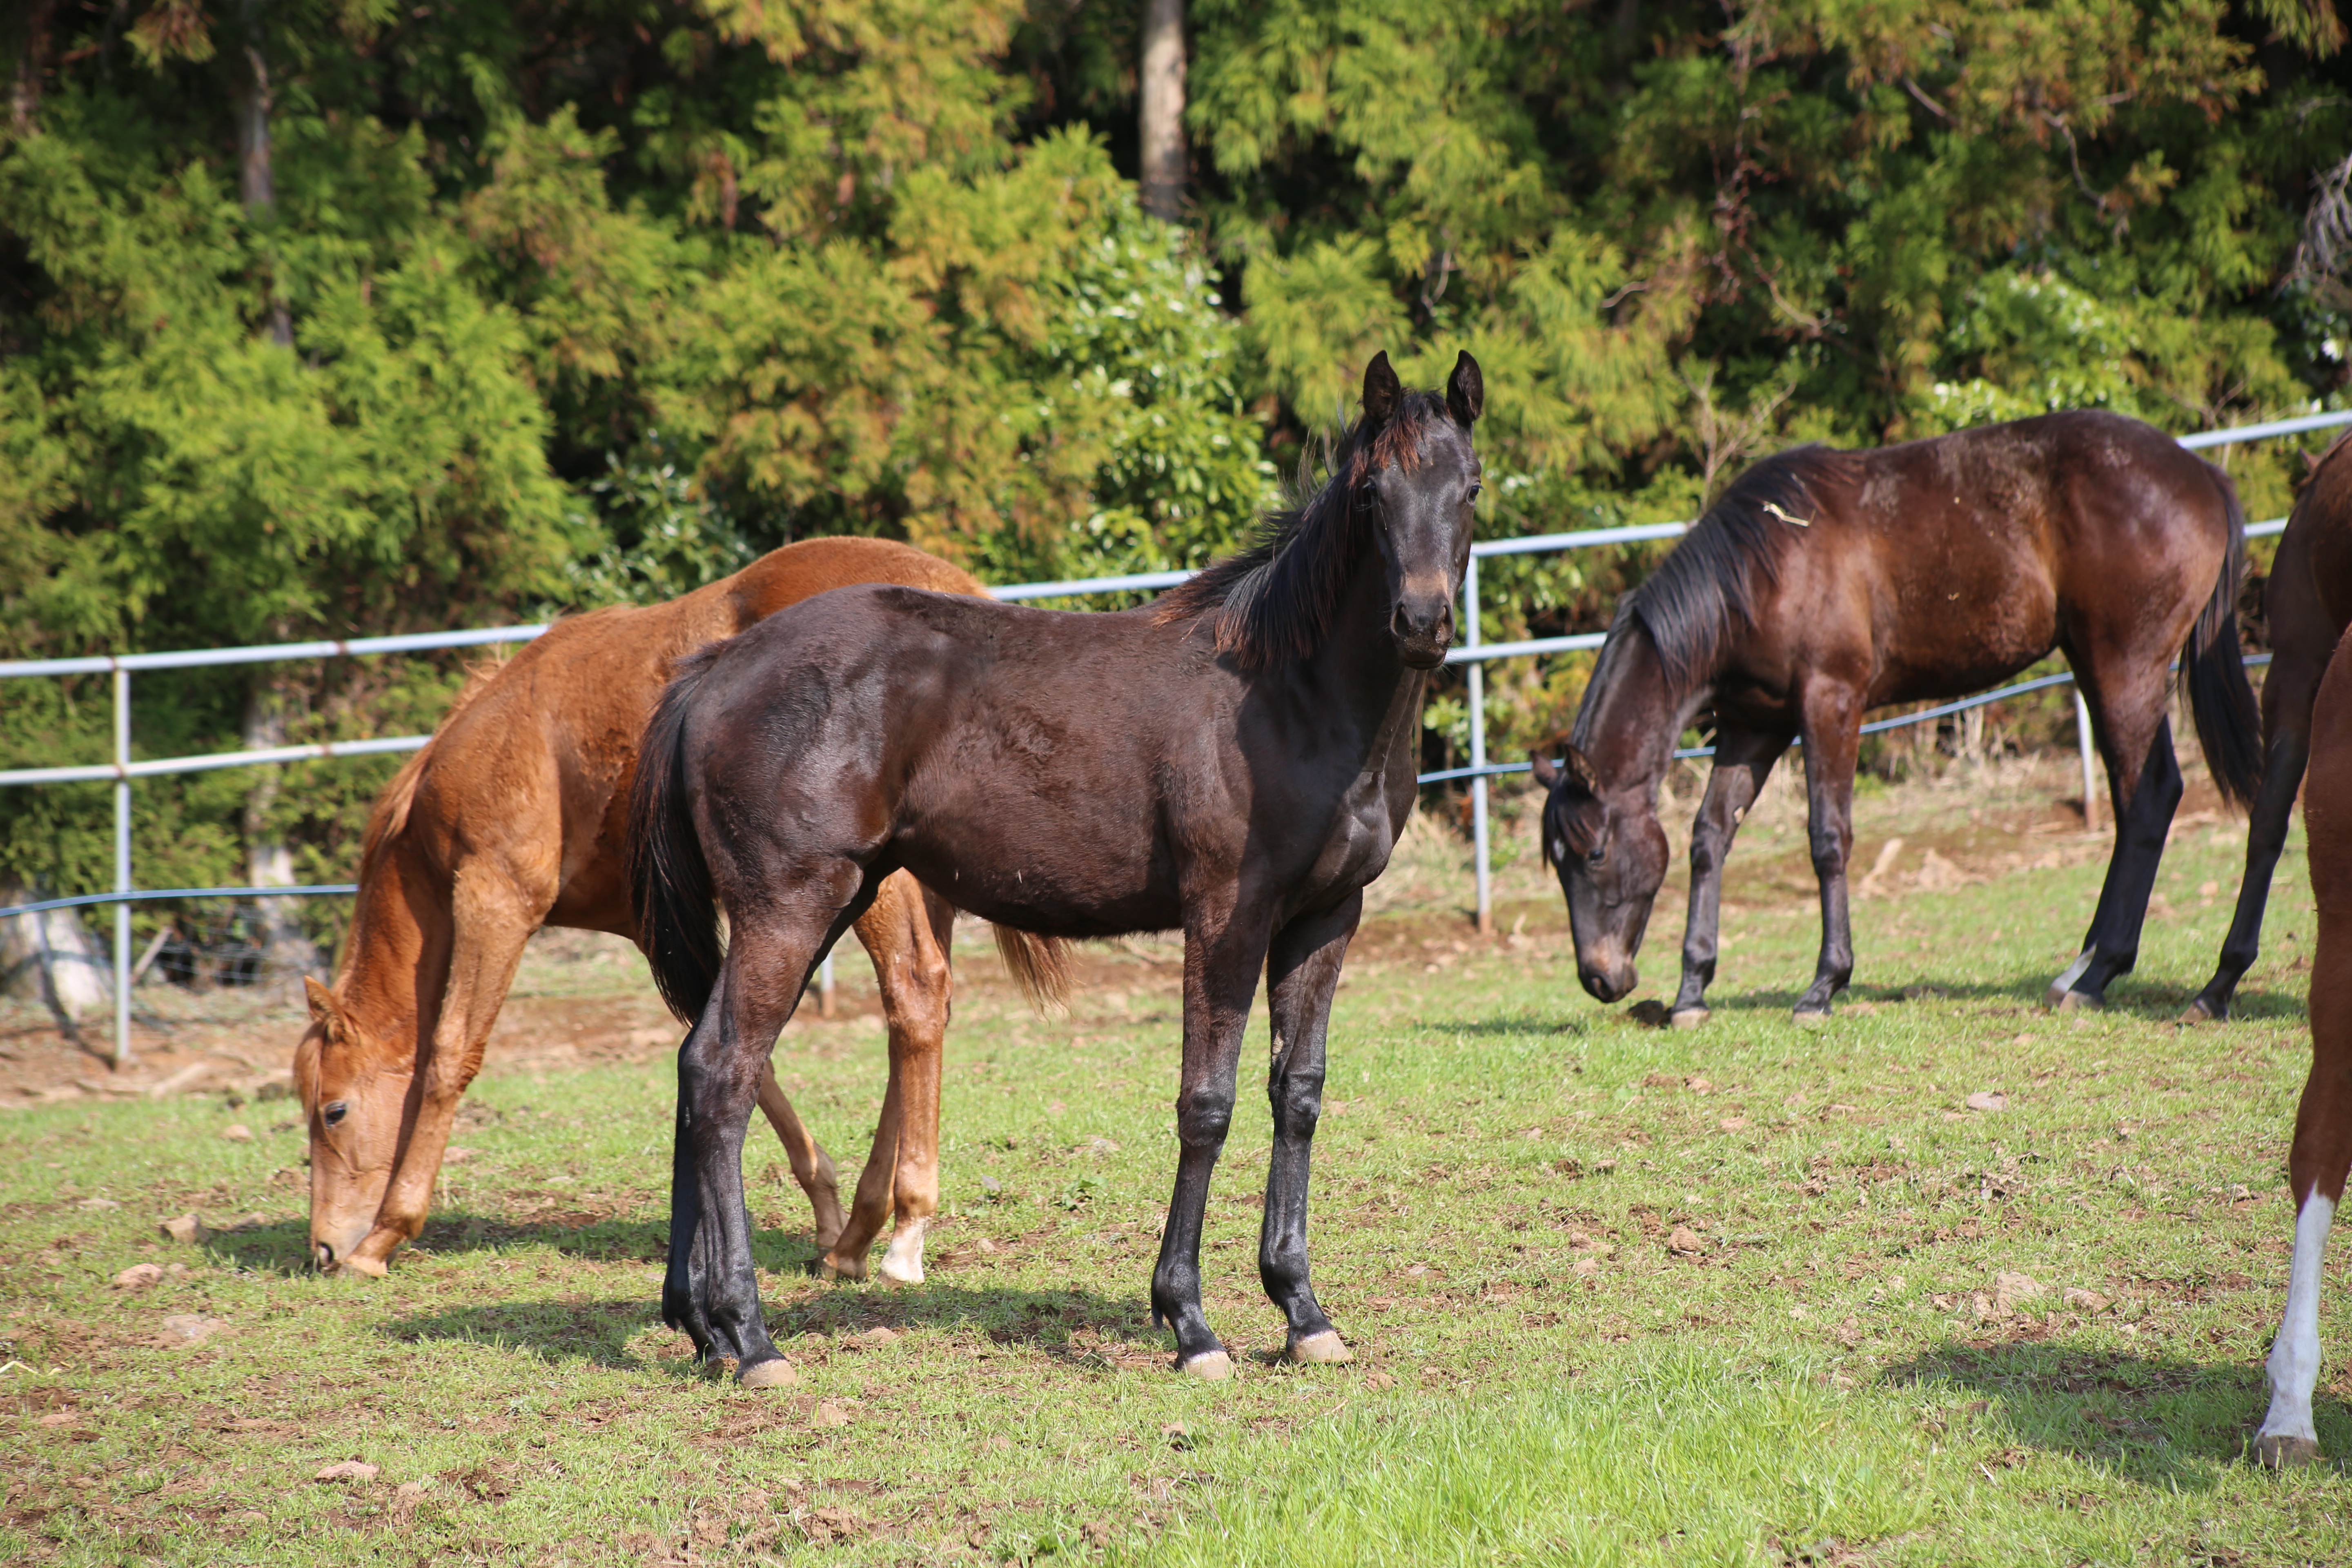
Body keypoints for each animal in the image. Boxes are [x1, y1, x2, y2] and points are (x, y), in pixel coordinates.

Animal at [621, 352, 1468, 1382]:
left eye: (1469, 487)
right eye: (1372, 493)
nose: (1421, 619)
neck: (1285, 697)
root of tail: (713, 669)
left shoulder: (1325, 917)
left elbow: (1295, 1097)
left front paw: (1303, 1311)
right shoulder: (1227, 914)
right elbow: (1207, 1103)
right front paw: (1189, 1321)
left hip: (819, 906)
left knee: (696, 1065)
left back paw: (698, 1322)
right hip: (789, 909)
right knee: (722, 1074)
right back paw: (749, 1338)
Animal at [1533, 411, 2267, 1025]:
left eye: (1595, 853)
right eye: (1559, 863)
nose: (1599, 978)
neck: (1763, 568)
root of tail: (2202, 475)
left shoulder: (1830, 702)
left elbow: (1828, 838)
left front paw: (1825, 985)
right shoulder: (1752, 727)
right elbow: (1709, 839)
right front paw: (1692, 991)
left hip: (2124, 668)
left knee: (2149, 798)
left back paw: (2097, 974)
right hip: (2099, 666)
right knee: (2139, 798)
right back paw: (2082, 966)